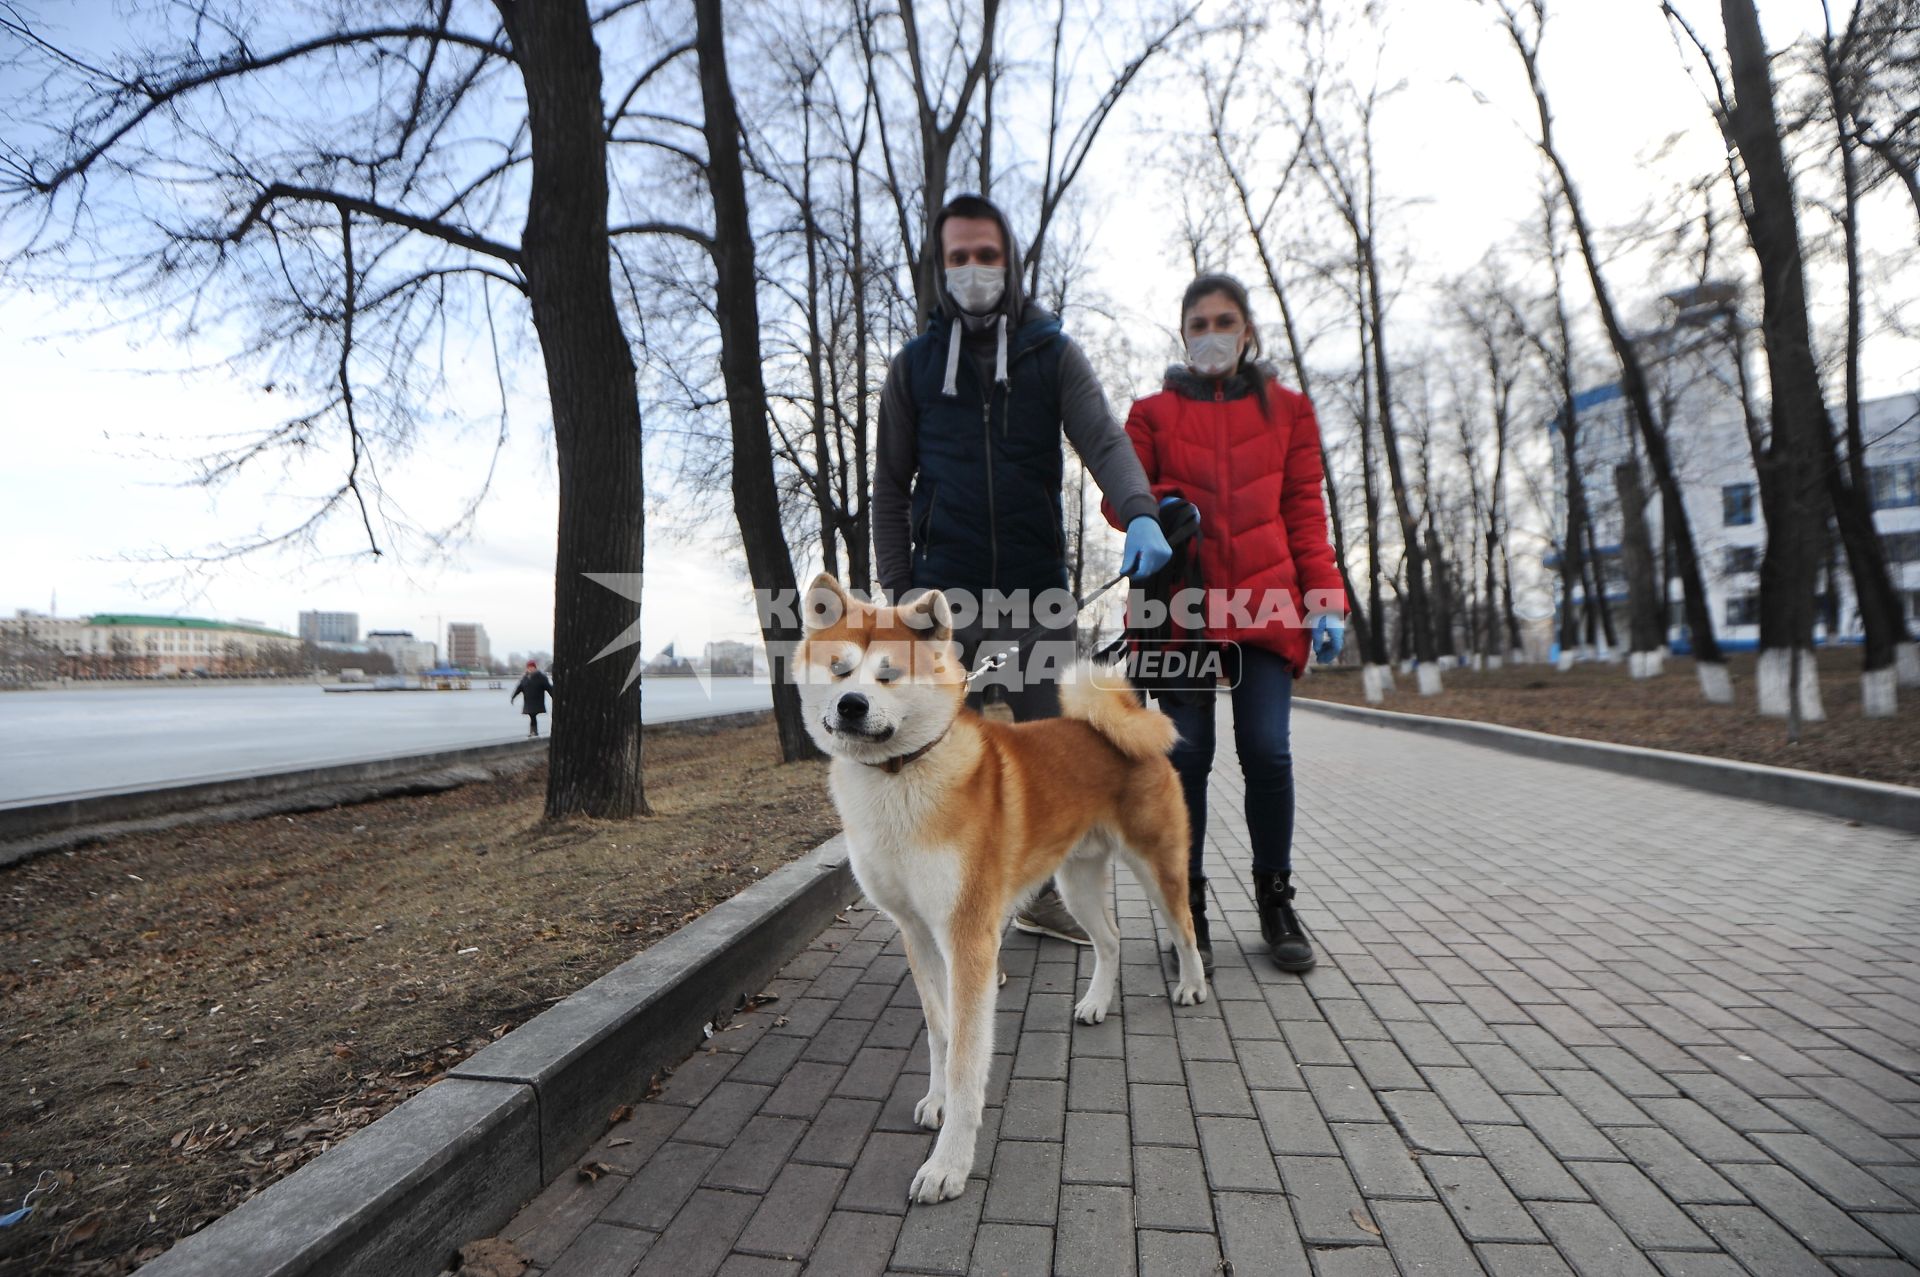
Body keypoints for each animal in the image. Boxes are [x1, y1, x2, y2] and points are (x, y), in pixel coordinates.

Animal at [791, 572, 1205, 1198]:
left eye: (889, 674)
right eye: (839, 669)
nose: (851, 704)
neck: (899, 778)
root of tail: (1115, 722)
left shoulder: (967, 937)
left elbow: (966, 1057)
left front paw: (949, 1163)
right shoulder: (917, 932)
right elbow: (939, 1033)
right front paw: (937, 1101)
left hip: (1157, 865)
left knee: (1183, 929)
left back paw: (1191, 986)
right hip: (1076, 880)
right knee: (1110, 940)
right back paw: (1095, 1004)